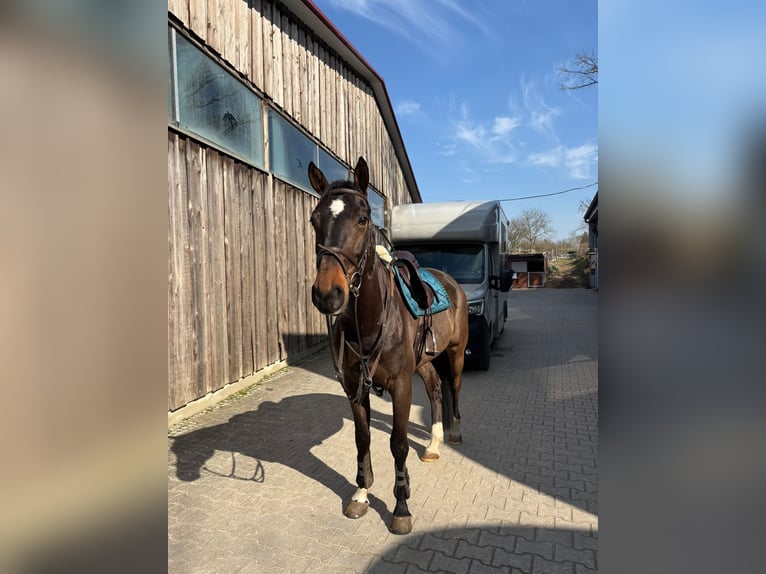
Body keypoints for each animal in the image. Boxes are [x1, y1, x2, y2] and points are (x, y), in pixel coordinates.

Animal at [308, 156, 469, 535]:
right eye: (314, 220)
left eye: (363, 219)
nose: (327, 294)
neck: (369, 322)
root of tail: (452, 283)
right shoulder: (355, 387)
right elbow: (363, 438)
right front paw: (361, 494)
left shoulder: (400, 386)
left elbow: (397, 443)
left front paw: (401, 508)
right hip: (423, 362)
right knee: (436, 389)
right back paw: (433, 444)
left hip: (455, 354)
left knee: (454, 387)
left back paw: (453, 432)